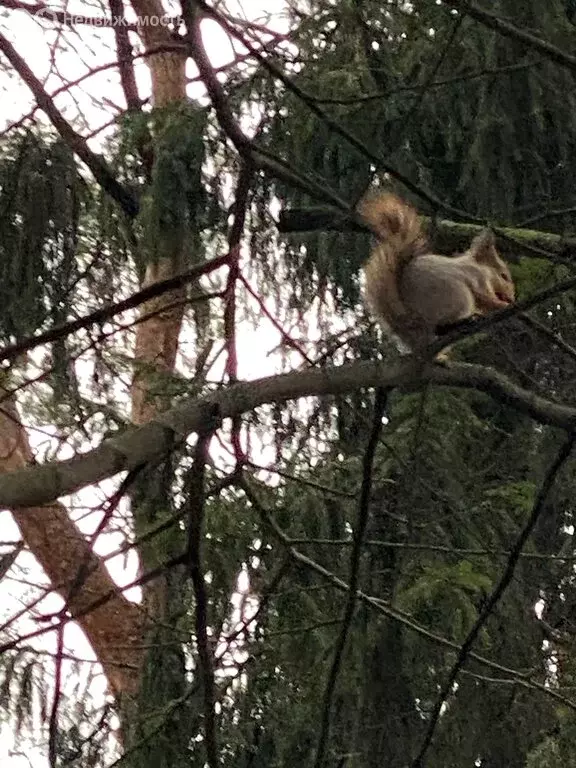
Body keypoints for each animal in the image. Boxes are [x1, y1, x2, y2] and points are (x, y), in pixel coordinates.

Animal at [358, 194, 516, 358]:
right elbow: (486, 299)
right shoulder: (477, 279)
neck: (481, 268)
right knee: (440, 326)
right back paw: (464, 321)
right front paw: (504, 305)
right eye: (504, 276)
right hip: (457, 298)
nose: (512, 296)